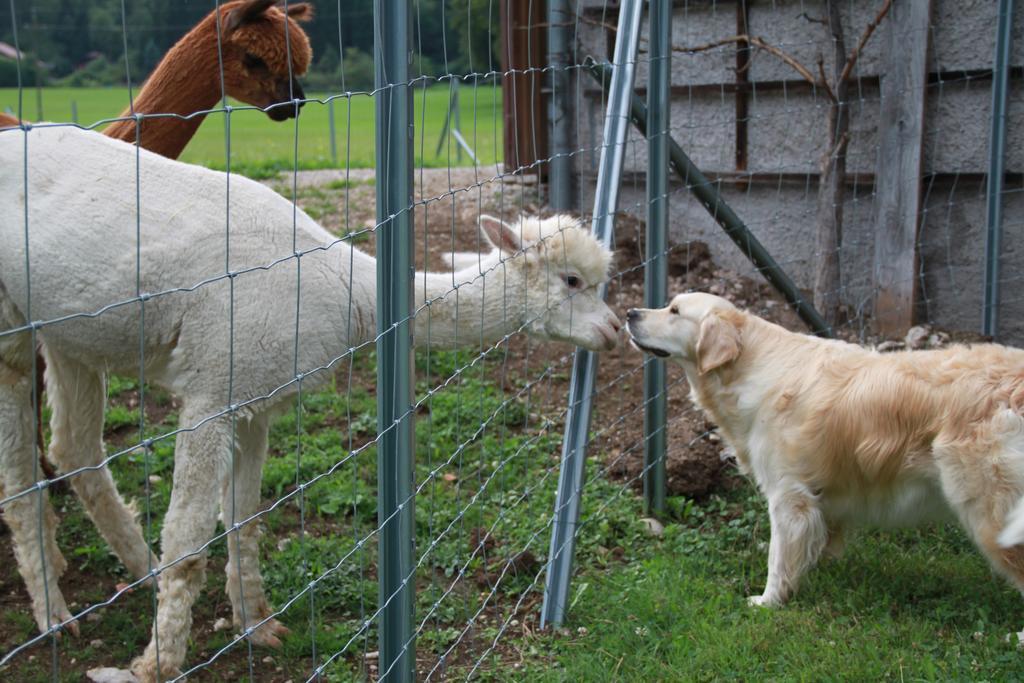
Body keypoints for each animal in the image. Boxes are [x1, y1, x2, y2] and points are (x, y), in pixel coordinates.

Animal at [618, 290, 1024, 610]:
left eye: (674, 311)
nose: (630, 313)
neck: (749, 364)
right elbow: (819, 541)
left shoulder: (788, 495)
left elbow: (778, 558)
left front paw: (768, 601)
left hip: (991, 511)